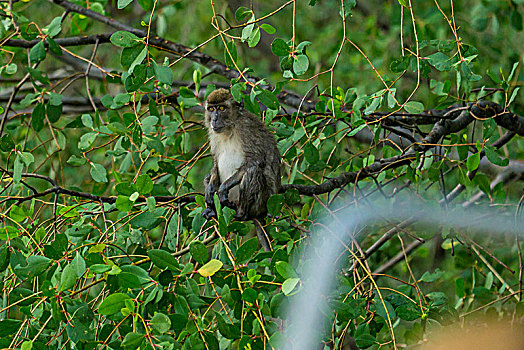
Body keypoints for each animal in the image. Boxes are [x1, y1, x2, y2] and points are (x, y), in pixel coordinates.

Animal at [202, 88, 282, 252]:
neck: (229, 128)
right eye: (211, 109)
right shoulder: (214, 134)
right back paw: (212, 209)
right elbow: (215, 164)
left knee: (253, 172)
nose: (214, 119)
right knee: (208, 176)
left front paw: (223, 188)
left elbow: (254, 160)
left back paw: (242, 213)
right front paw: (211, 189)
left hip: (260, 202)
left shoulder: (246, 129)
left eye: (221, 108)